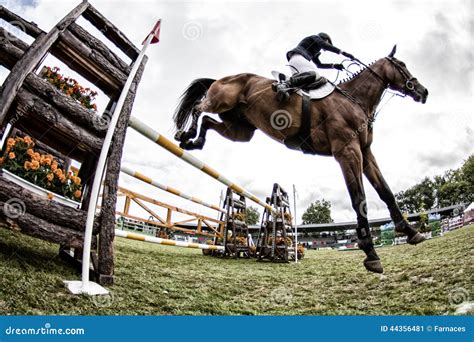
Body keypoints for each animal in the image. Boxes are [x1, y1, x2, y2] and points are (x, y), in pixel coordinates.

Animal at [172, 46, 428, 274]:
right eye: (402, 65)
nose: (423, 92)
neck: (354, 100)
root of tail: (223, 78)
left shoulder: (365, 152)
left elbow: (385, 191)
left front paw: (410, 231)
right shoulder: (347, 151)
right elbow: (359, 199)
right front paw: (371, 253)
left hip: (240, 130)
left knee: (208, 121)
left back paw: (194, 142)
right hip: (221, 101)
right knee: (199, 108)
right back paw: (184, 134)